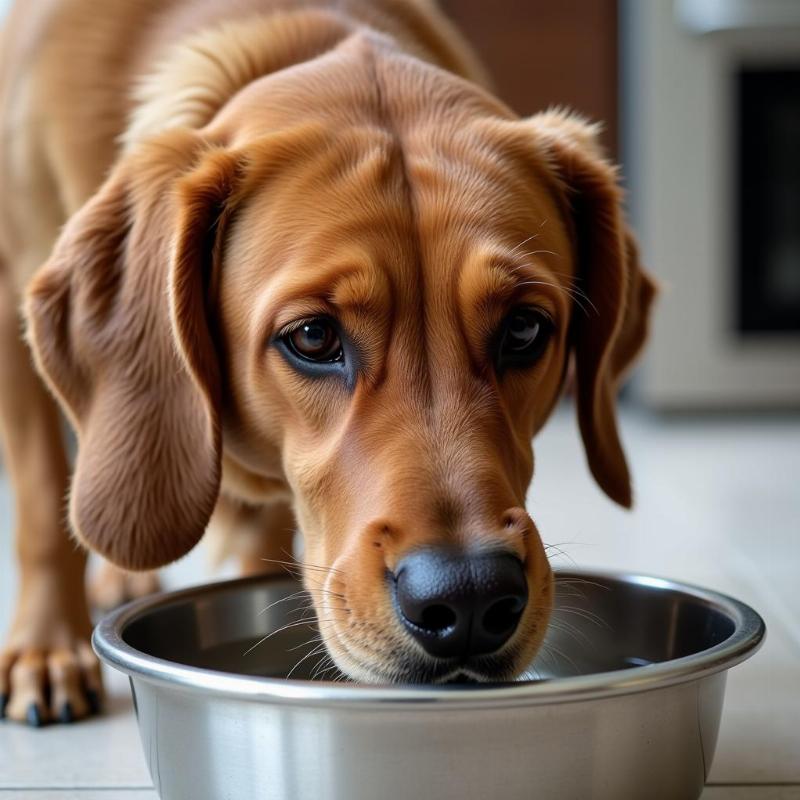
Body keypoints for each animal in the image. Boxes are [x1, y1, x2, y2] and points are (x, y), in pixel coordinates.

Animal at [0, 0, 656, 724]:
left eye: (523, 329)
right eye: (313, 337)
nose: (471, 597)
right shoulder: (10, 299)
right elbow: (41, 503)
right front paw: (47, 649)